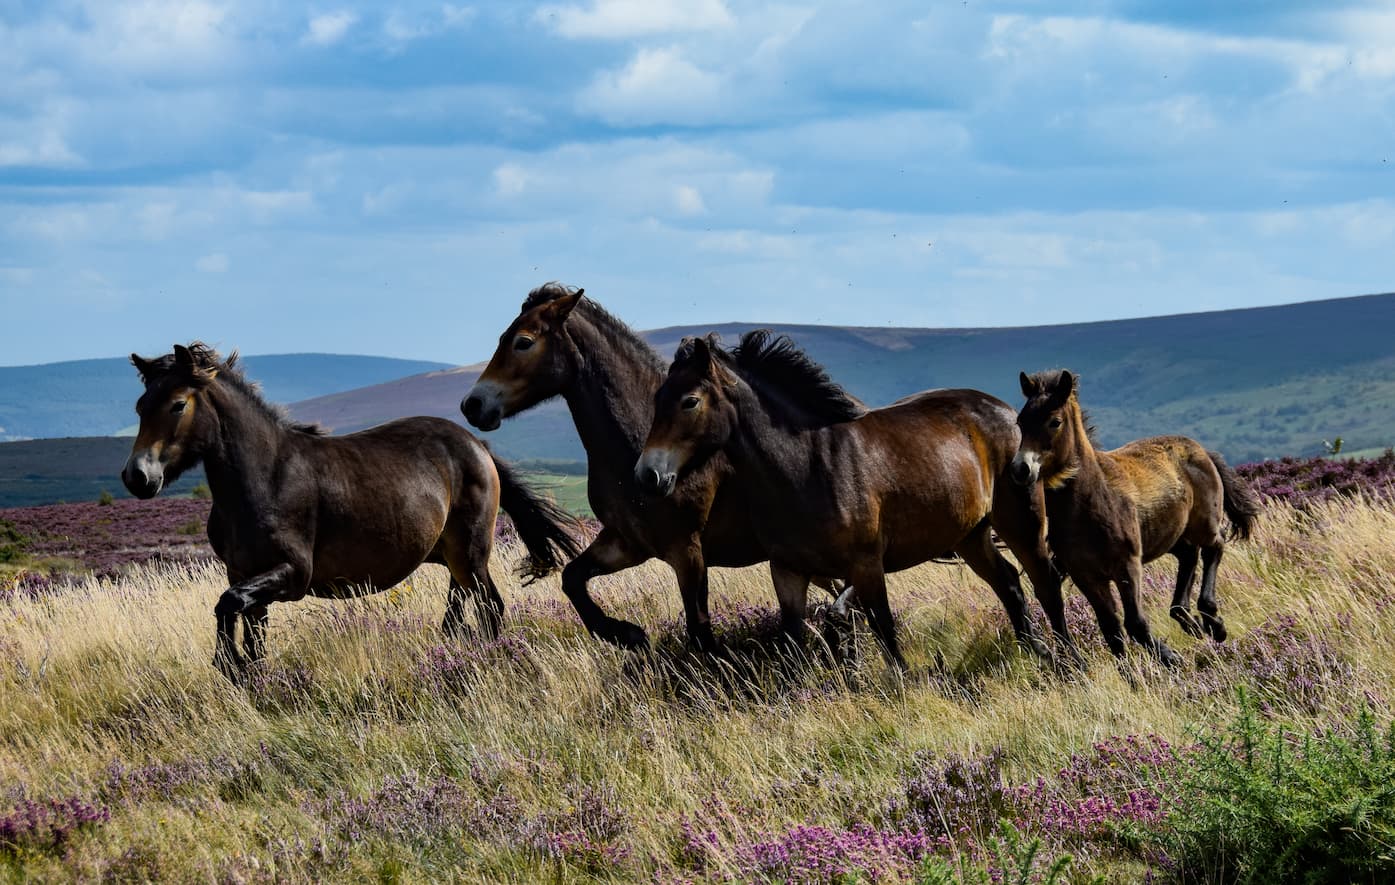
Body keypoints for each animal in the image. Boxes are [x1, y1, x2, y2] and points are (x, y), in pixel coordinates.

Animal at [123, 343, 582, 683]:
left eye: (177, 405)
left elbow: (227, 605)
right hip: (453, 559)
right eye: (140, 405)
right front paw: (243, 674)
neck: (264, 477)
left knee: (491, 608)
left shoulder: (292, 574)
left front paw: (226, 664)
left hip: (471, 554)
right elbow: (249, 634)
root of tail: (477, 446)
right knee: (458, 610)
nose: (137, 477)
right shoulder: (245, 575)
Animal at [460, 284, 856, 655]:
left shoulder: (688, 552)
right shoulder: (627, 542)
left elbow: (699, 630)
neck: (635, 443)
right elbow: (572, 579)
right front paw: (627, 634)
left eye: (523, 342)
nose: (473, 405)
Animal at [636, 331, 1070, 671]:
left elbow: (882, 629)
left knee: (1044, 583)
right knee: (1009, 584)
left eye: (689, 401)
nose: (647, 475)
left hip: (1020, 522)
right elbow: (793, 640)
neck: (806, 467)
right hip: (970, 536)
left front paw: (902, 688)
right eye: (657, 398)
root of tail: (1007, 412)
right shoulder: (788, 571)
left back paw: (1067, 661)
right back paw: (1038, 653)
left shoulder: (866, 566)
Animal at [1011, 369, 1261, 666]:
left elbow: (1136, 623)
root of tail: (1201, 449)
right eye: (1021, 422)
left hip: (1202, 523)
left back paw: (1213, 622)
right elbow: (1111, 629)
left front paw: (1172, 660)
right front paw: (1132, 674)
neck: (1090, 502)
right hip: (1167, 535)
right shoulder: (1087, 576)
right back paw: (1189, 620)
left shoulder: (1127, 566)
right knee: (1189, 555)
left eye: (1054, 422)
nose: (1020, 469)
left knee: (1215, 546)